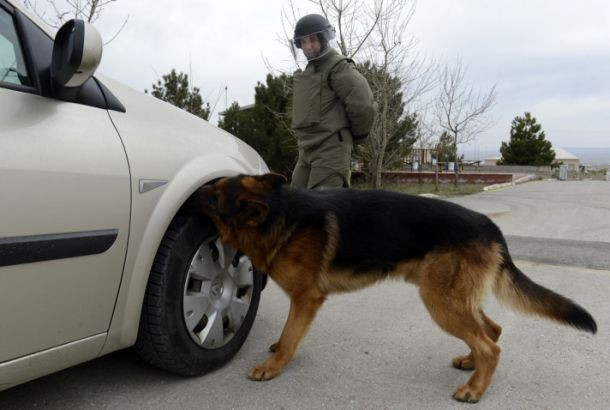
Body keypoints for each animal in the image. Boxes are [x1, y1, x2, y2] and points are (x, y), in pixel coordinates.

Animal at [196, 173, 592, 404]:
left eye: (214, 198)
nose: (197, 188)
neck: (280, 215)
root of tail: (489, 225)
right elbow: (287, 333)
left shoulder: (307, 298)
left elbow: (292, 335)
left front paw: (274, 365)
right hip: (452, 298)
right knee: (491, 331)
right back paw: (470, 363)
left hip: (440, 302)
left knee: (490, 346)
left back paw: (474, 389)